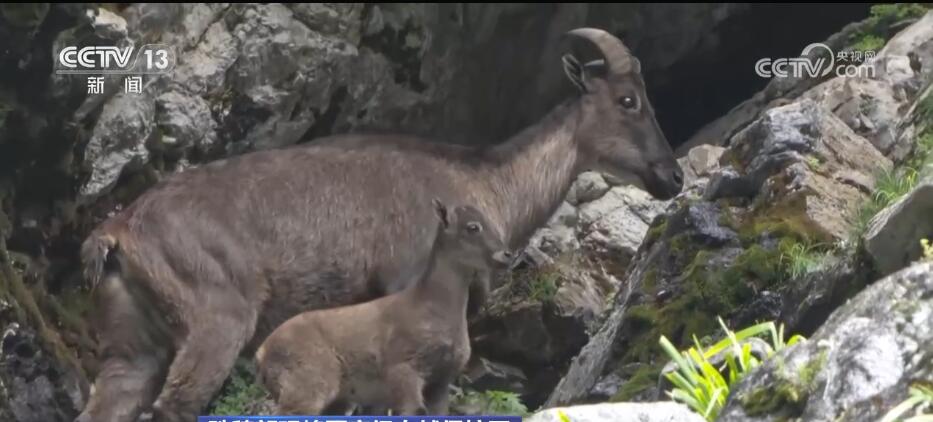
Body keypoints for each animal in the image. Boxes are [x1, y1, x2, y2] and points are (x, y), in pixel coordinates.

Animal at [76, 28, 680, 420]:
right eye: (628, 101)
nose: (671, 175)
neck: (489, 184)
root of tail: (115, 235)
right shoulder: (404, 287)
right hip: (216, 322)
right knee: (176, 404)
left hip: (132, 350)